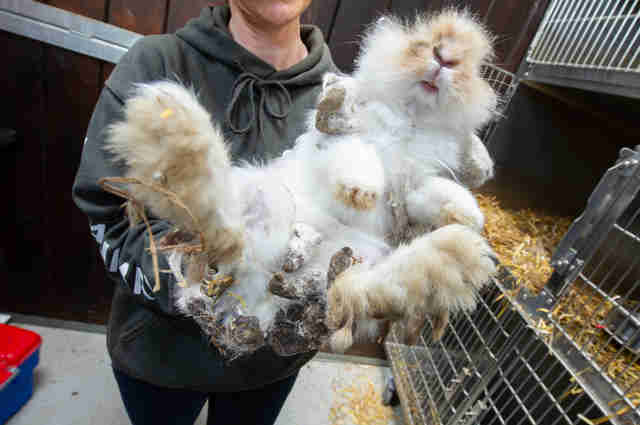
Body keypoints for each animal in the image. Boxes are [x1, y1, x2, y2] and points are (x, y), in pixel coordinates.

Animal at [105, 8, 498, 356]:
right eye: (421, 42)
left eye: (474, 64)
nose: (446, 58)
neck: (411, 118)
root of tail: (254, 297)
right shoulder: (343, 141)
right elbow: (358, 158)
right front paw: (361, 191)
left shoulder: (415, 183)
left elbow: (437, 194)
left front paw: (470, 217)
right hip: (266, 201)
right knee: (222, 226)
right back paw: (172, 124)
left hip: (353, 260)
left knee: (358, 291)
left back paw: (455, 258)